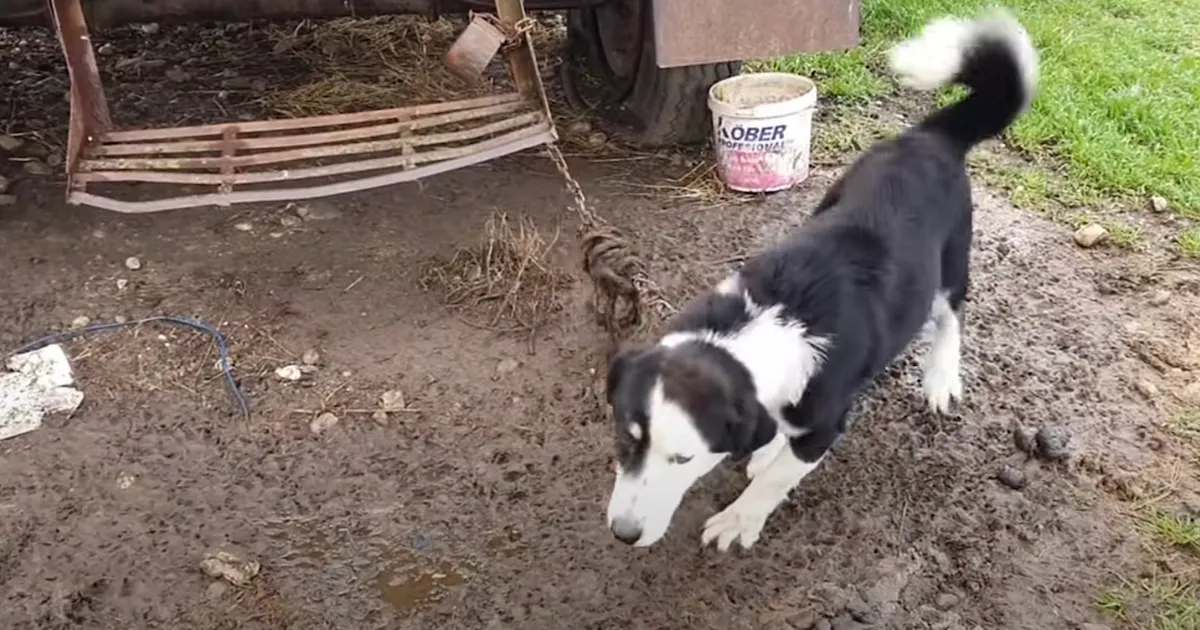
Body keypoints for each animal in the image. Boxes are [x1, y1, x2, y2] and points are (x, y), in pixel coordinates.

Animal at [604, 11, 1036, 549]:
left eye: (684, 458)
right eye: (624, 439)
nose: (624, 533)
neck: (765, 320)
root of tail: (932, 137)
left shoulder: (824, 425)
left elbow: (777, 478)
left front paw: (740, 518)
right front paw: (764, 452)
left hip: (953, 259)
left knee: (951, 314)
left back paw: (941, 378)